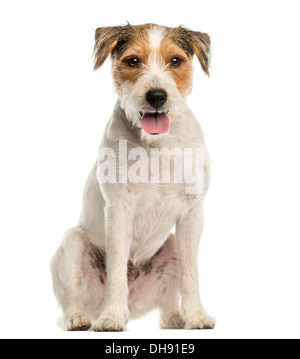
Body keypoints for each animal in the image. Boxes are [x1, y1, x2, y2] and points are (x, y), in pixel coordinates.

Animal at [50, 22, 214, 332]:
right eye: (133, 60)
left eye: (176, 60)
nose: (157, 96)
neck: (157, 145)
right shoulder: (118, 210)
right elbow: (116, 270)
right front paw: (111, 317)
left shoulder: (193, 211)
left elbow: (191, 273)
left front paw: (197, 316)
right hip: (72, 245)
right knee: (70, 302)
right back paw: (80, 318)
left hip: (171, 245)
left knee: (166, 301)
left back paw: (175, 317)